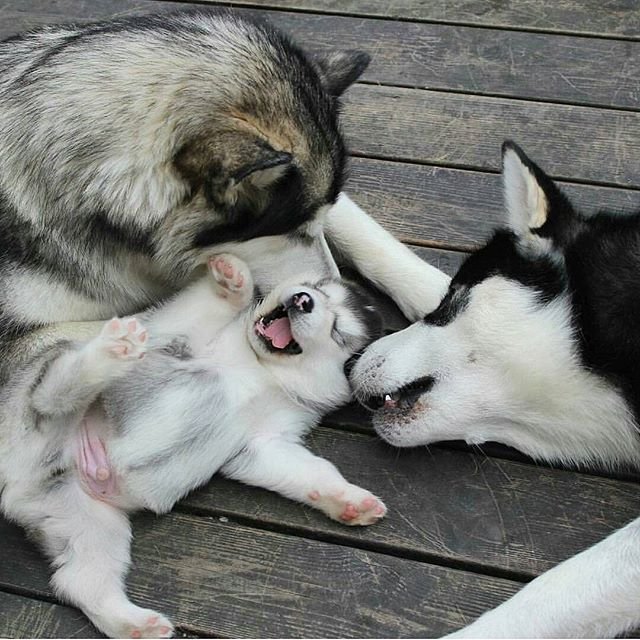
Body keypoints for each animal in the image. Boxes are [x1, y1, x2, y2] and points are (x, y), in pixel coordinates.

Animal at [0, 10, 450, 378]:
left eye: (311, 224)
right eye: (292, 232)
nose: (337, 292)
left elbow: (358, 227)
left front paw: (437, 293)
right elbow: (151, 319)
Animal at [1, 255, 384, 640]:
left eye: (337, 329)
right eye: (316, 287)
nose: (303, 300)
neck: (261, 370)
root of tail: (16, 478)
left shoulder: (264, 444)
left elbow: (315, 471)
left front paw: (350, 501)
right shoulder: (173, 333)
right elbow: (206, 306)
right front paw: (234, 279)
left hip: (86, 520)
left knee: (79, 580)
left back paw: (137, 626)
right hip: (40, 402)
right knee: (58, 389)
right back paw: (112, 350)